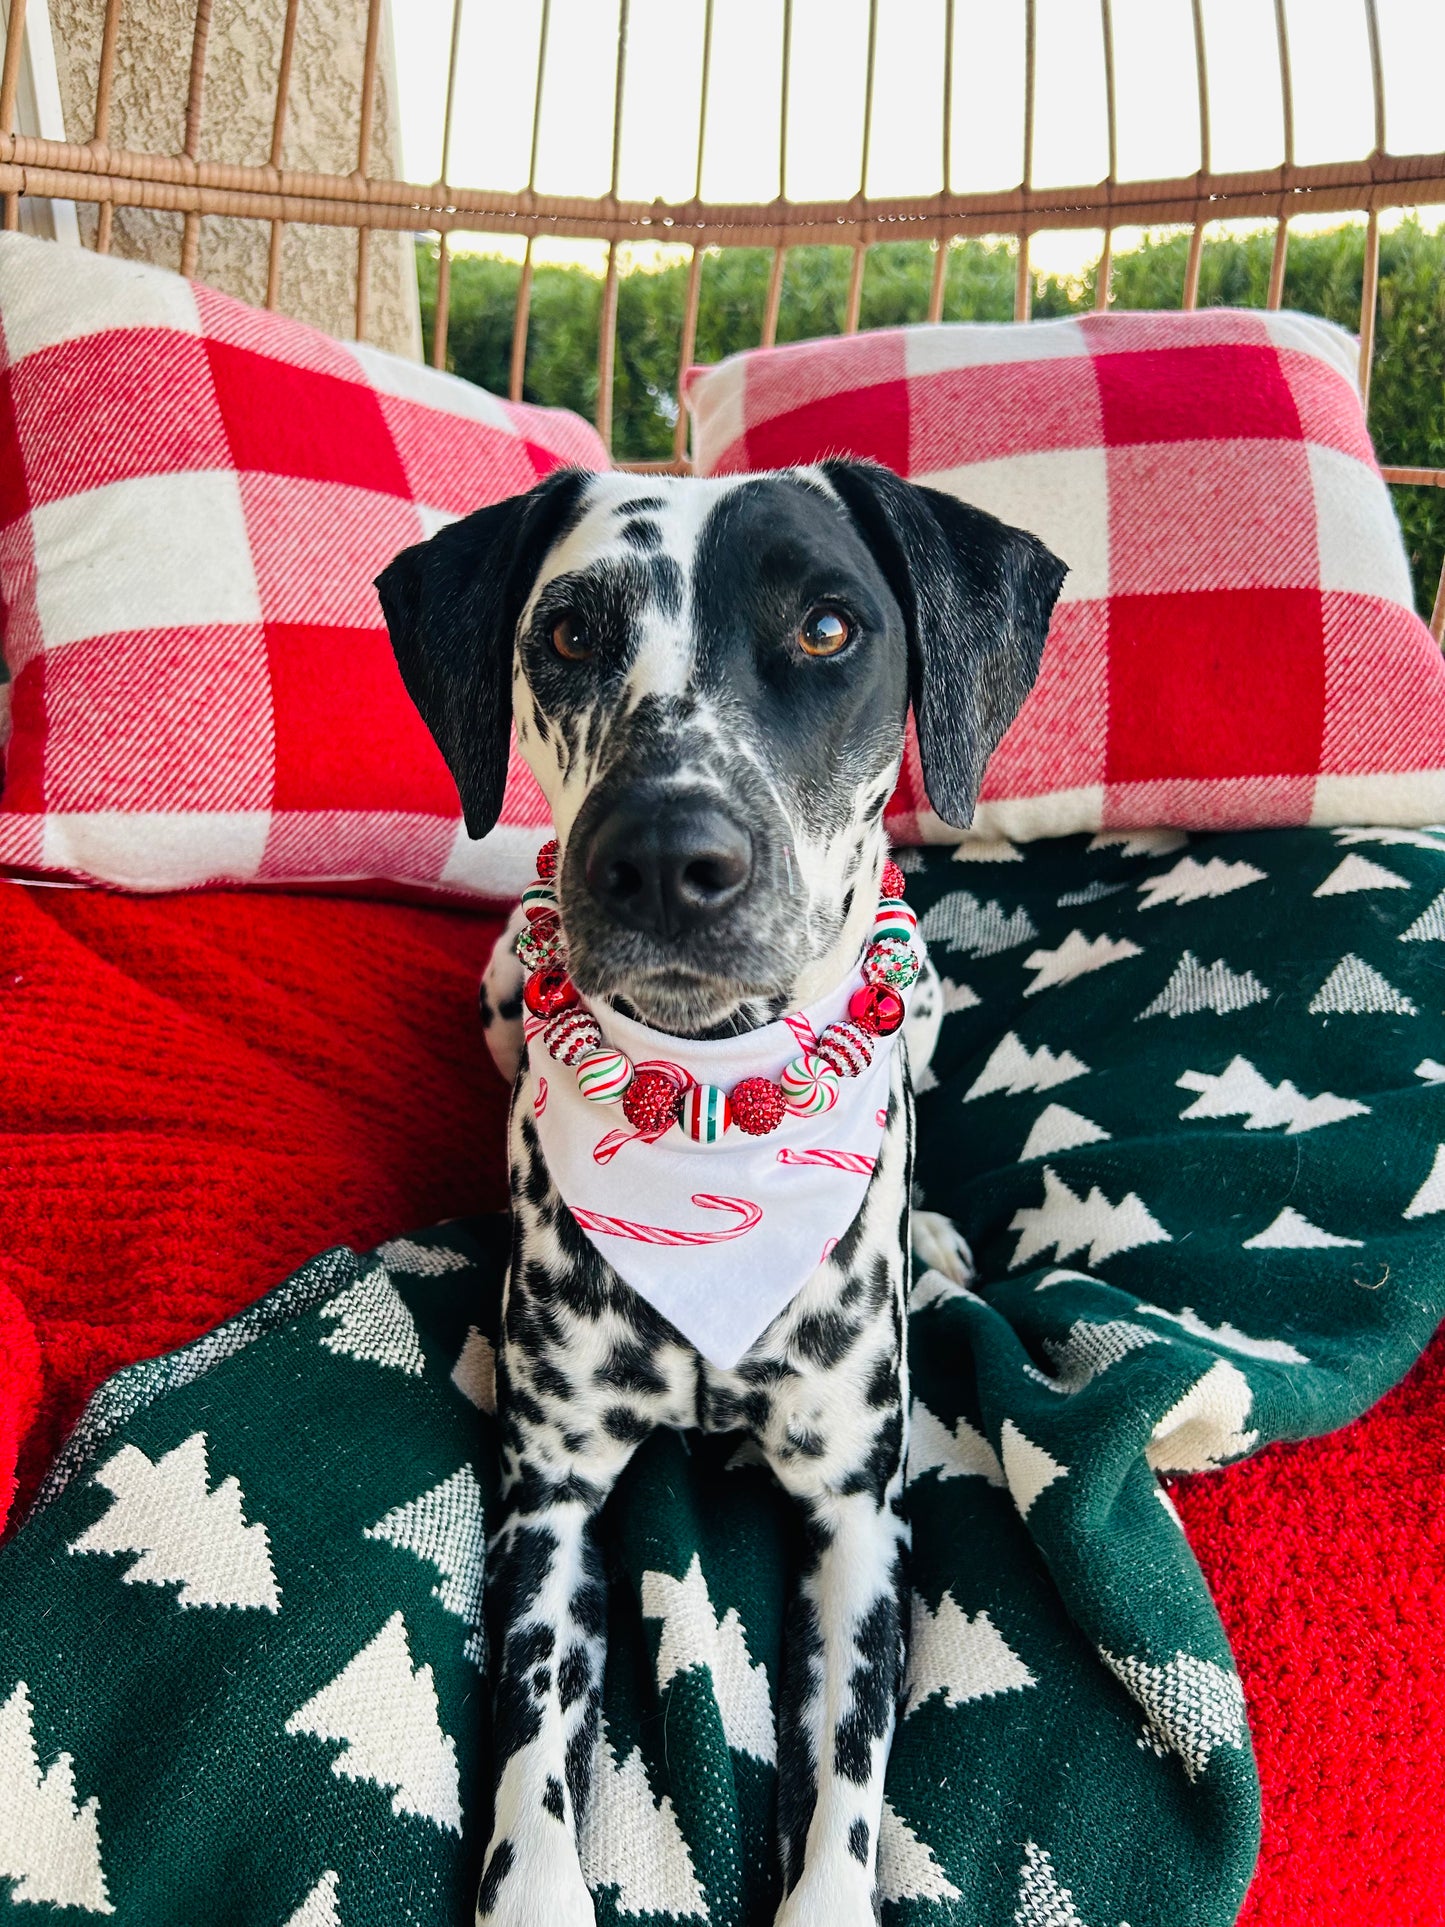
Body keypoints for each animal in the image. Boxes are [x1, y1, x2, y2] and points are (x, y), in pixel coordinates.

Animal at [379, 470, 1071, 1927]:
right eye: (570, 631)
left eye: (827, 627)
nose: (660, 853)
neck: (707, 1120)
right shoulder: (550, 1504)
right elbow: (529, 1752)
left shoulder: (859, 1514)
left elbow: (846, 1779)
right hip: (500, 969)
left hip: (923, 989)